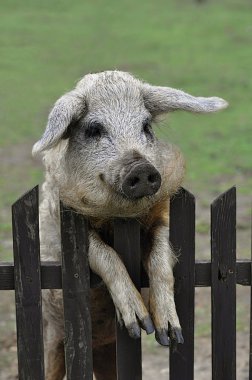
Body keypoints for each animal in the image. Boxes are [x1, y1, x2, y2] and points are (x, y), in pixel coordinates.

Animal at [32, 70, 227, 378]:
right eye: (94, 129)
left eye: (146, 126)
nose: (142, 168)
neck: (119, 217)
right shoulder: (59, 227)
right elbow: (104, 253)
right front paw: (138, 325)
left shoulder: (164, 217)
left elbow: (160, 255)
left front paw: (166, 334)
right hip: (51, 339)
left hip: (108, 355)